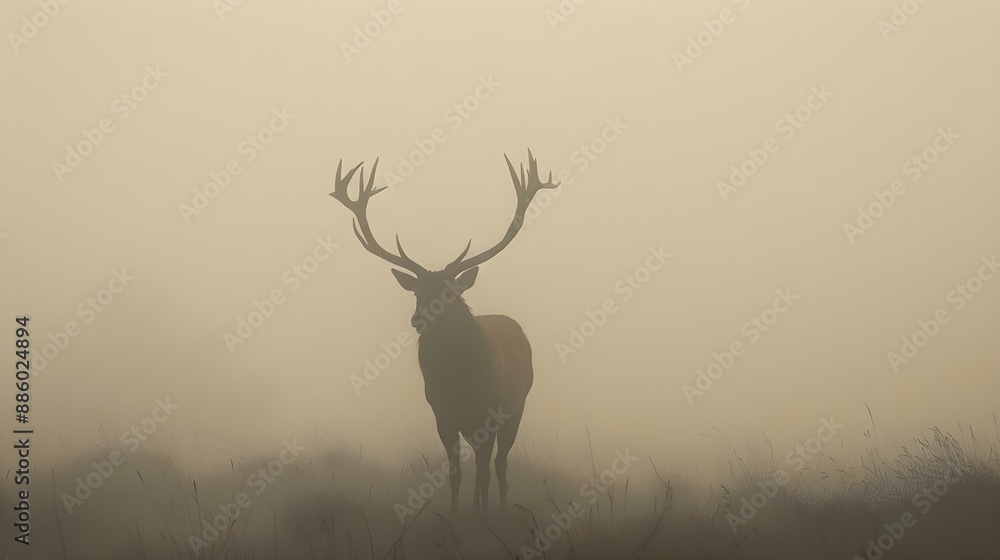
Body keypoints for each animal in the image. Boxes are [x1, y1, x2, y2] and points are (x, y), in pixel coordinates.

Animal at [330, 150, 559, 516]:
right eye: (416, 292)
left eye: (449, 292)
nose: (418, 319)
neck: (459, 381)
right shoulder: (442, 415)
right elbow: (455, 472)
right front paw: (455, 515)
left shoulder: (489, 411)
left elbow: (484, 469)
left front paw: (483, 516)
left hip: (517, 406)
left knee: (499, 465)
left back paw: (501, 508)